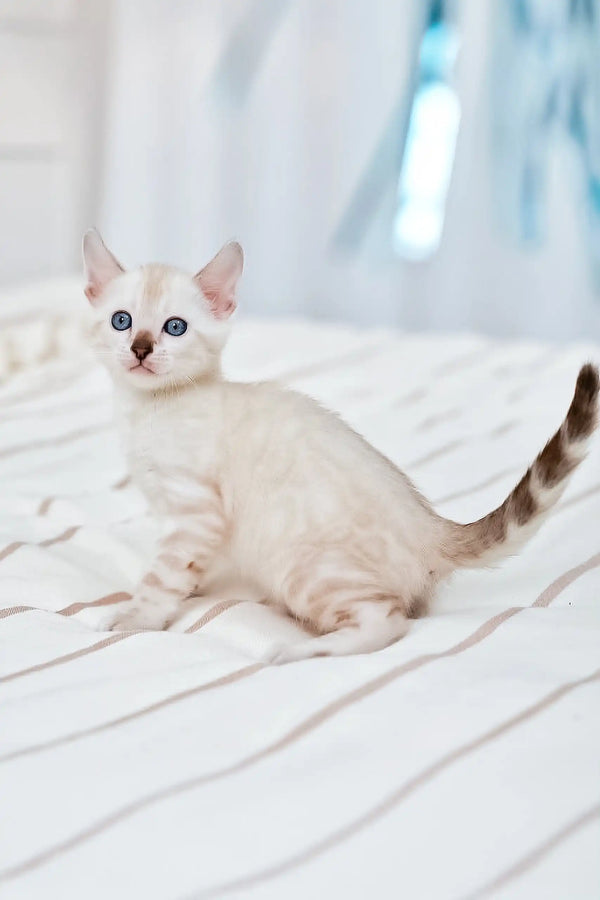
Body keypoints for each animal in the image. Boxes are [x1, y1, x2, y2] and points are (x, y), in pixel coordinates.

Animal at [82, 229, 596, 664]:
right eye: (122, 321)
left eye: (175, 327)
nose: (142, 348)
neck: (149, 411)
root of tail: (431, 528)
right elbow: (191, 569)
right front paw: (193, 589)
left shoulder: (195, 512)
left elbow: (162, 575)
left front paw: (134, 617)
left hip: (305, 567)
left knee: (388, 620)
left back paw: (302, 651)